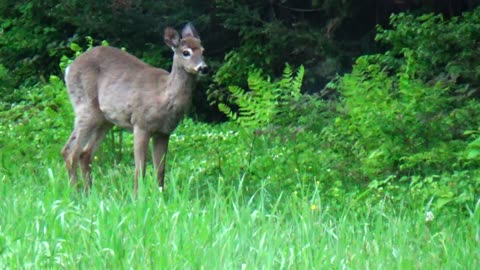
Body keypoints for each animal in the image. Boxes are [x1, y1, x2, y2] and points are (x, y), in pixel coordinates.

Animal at [62, 22, 208, 193]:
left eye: (203, 50)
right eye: (186, 52)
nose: (203, 68)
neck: (163, 96)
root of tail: (68, 68)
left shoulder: (163, 132)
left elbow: (160, 170)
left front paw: (160, 196)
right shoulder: (140, 124)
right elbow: (140, 169)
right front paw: (138, 196)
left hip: (104, 119)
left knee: (84, 154)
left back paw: (88, 192)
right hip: (86, 107)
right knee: (71, 153)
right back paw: (75, 193)